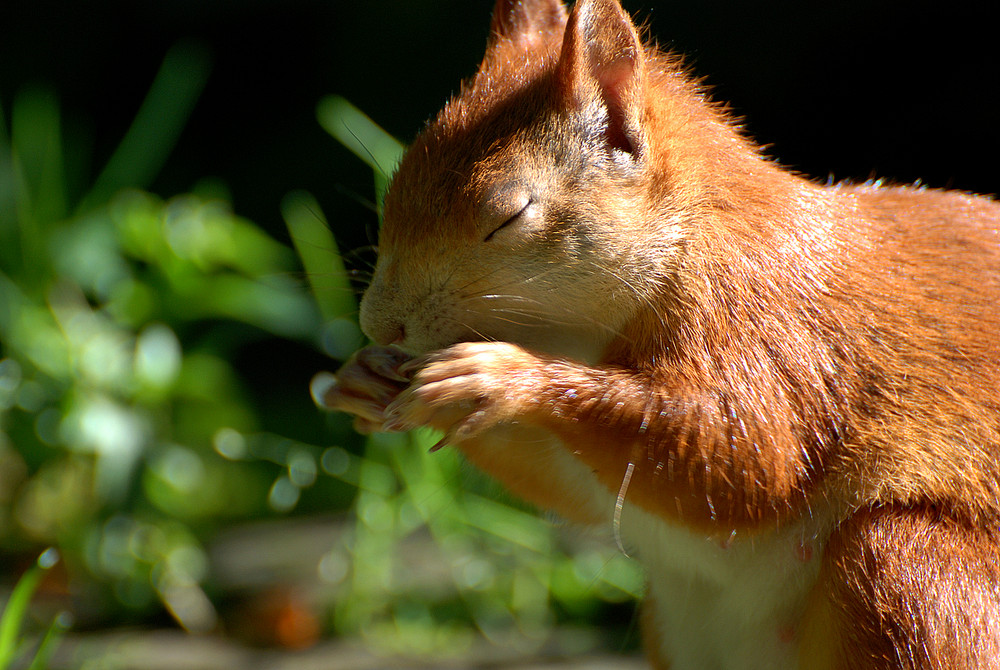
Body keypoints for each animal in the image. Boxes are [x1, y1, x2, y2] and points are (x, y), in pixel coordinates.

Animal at [318, 2, 1000, 668]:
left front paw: (501, 377)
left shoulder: (767, 323)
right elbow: (573, 486)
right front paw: (361, 377)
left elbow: (746, 455)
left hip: (910, 575)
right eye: (397, 181)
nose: (377, 324)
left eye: (508, 215)